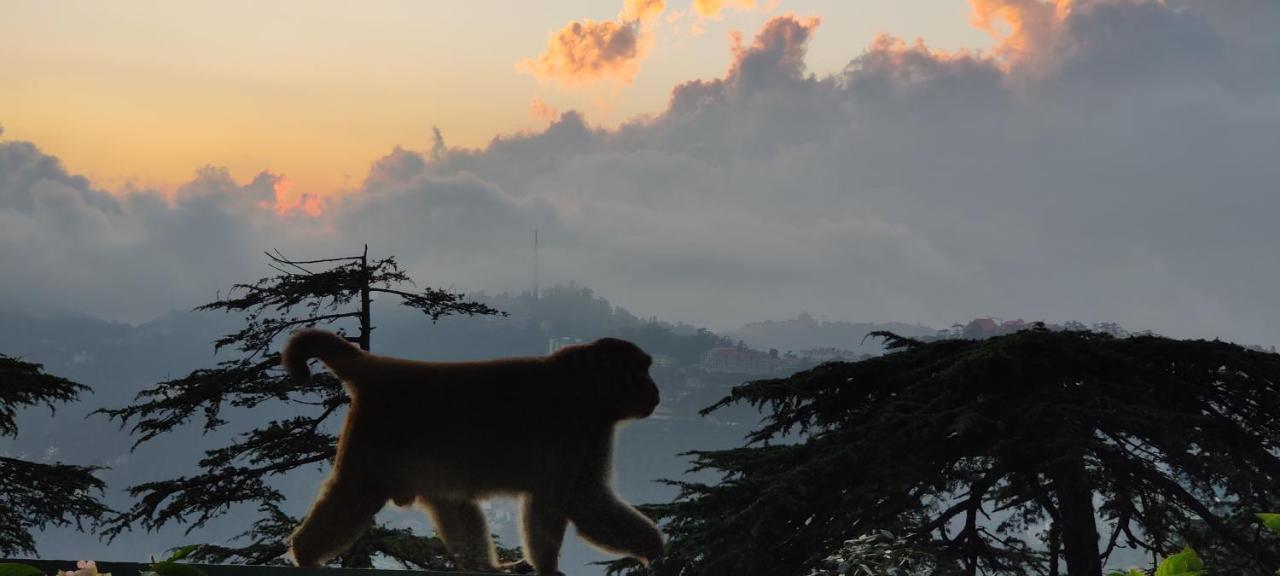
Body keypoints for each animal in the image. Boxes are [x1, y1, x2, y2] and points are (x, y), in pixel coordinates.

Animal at [277, 327, 660, 576]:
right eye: (641, 370)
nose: (655, 391)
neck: (586, 386)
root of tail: (382, 368)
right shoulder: (575, 426)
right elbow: (573, 497)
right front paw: (650, 549)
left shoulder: (592, 429)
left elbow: (562, 497)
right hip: (375, 441)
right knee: (356, 492)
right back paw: (306, 555)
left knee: (450, 500)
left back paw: (486, 567)